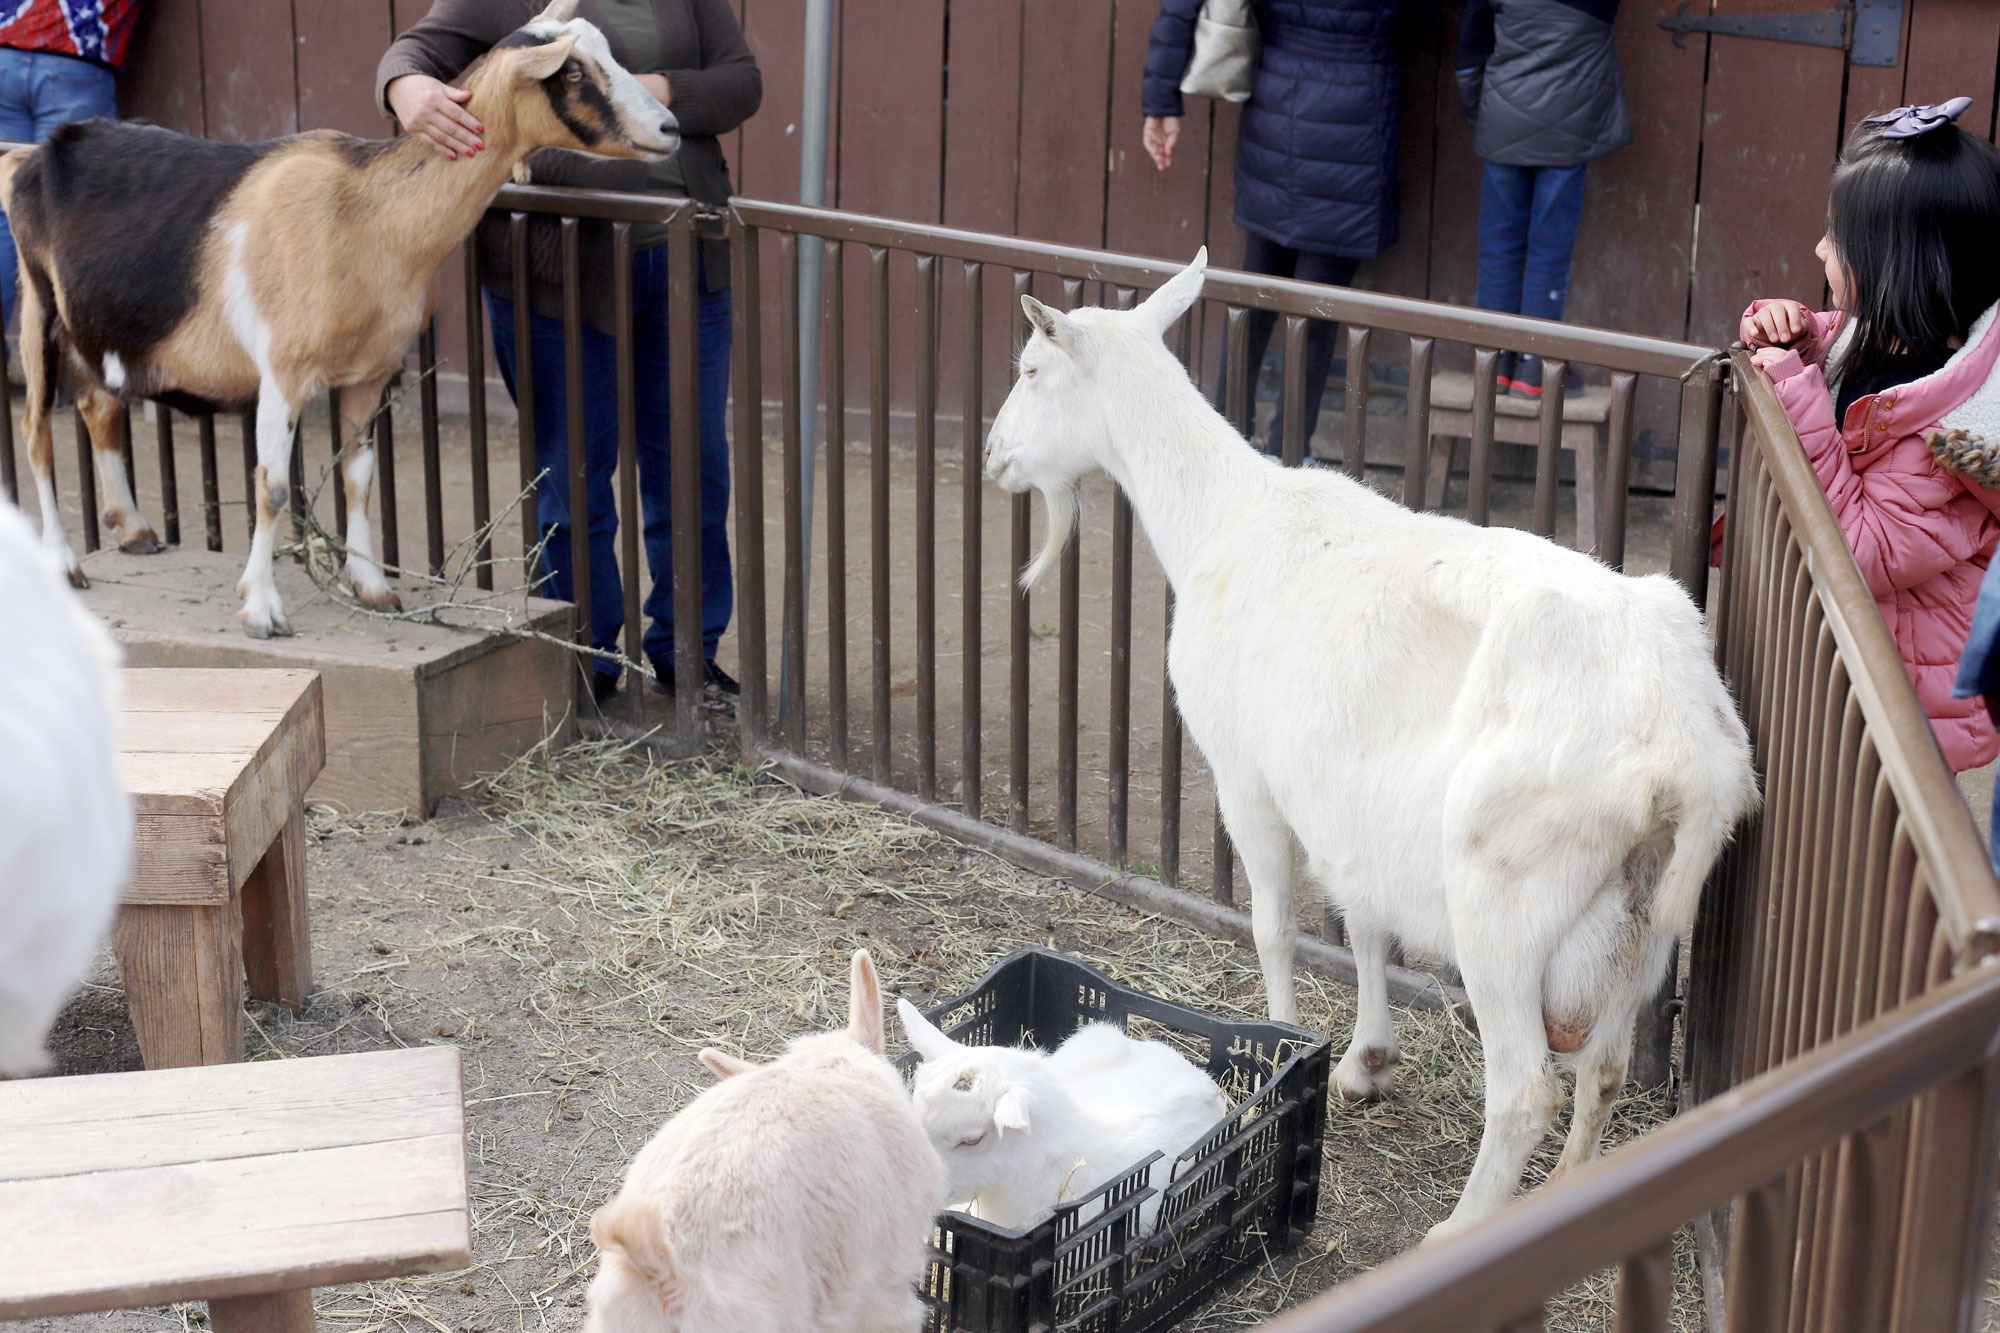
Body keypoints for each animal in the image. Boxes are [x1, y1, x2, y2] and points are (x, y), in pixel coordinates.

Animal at [0, 0, 676, 632]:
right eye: (573, 72)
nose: (670, 127)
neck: (368, 218)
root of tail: (32, 155)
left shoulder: (370, 373)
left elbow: (360, 476)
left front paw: (373, 588)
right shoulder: (282, 370)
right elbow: (273, 484)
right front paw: (262, 609)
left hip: (96, 330)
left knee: (97, 407)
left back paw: (136, 530)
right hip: (37, 307)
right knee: (35, 431)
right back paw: (65, 563)